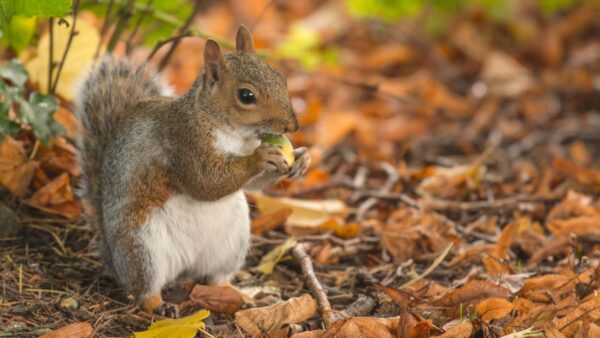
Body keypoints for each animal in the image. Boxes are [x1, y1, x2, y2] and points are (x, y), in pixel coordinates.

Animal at [74, 25, 310, 316]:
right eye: (246, 95)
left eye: (280, 77)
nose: (293, 126)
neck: (232, 133)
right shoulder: (183, 141)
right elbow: (204, 181)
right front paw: (260, 157)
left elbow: (251, 185)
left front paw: (301, 158)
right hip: (143, 246)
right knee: (143, 288)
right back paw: (159, 306)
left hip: (231, 243)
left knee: (217, 278)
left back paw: (240, 294)